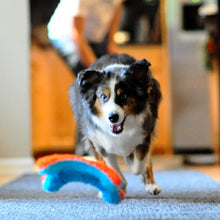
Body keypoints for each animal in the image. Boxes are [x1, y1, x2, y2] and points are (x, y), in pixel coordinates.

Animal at [69, 54, 162, 195]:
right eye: (103, 97)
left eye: (123, 96)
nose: (113, 117)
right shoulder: (100, 142)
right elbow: (111, 167)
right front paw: (121, 184)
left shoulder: (145, 135)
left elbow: (138, 166)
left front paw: (130, 161)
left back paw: (151, 185)